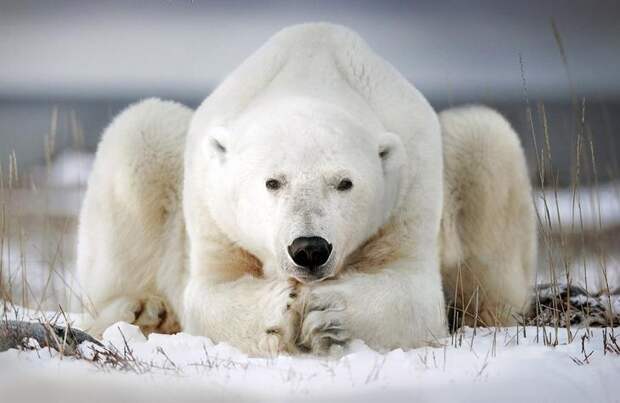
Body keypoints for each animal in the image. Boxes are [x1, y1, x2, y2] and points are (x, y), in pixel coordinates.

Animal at [76, 23, 532, 356]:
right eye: (272, 182)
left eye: (345, 183)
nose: (309, 248)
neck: (312, 72)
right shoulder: (212, 207)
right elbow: (210, 292)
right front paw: (281, 309)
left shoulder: (410, 186)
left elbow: (413, 292)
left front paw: (327, 314)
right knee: (140, 133)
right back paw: (142, 311)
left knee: (485, 140)